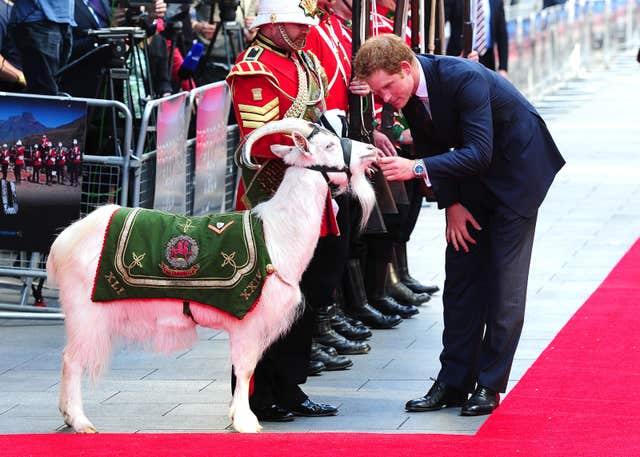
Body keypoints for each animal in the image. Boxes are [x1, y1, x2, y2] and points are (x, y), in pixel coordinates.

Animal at [48, 116, 380, 432]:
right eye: (329, 145)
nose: (371, 149)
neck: (275, 234)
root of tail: (64, 241)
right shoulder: (248, 320)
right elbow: (245, 369)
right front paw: (246, 421)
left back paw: (67, 416)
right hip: (84, 311)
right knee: (71, 359)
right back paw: (80, 421)